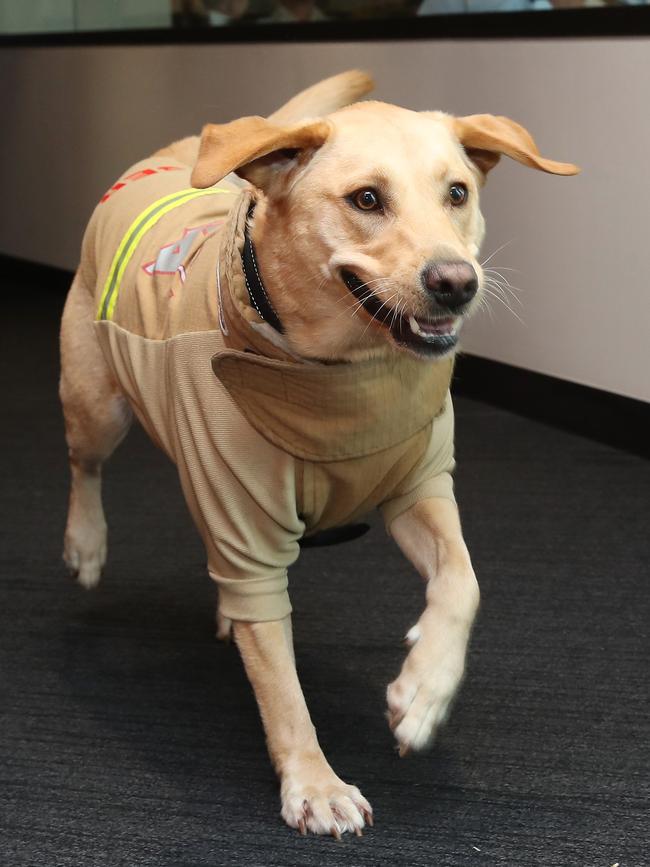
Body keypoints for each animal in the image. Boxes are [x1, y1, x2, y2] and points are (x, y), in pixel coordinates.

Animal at [59, 71, 576, 836]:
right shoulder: (246, 533)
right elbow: (282, 686)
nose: (457, 282)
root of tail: (172, 153)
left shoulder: (420, 488)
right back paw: (87, 542)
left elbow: (463, 582)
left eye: (457, 193)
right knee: (86, 466)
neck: (345, 376)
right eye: (366, 199)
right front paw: (314, 782)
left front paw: (424, 691)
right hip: (97, 405)